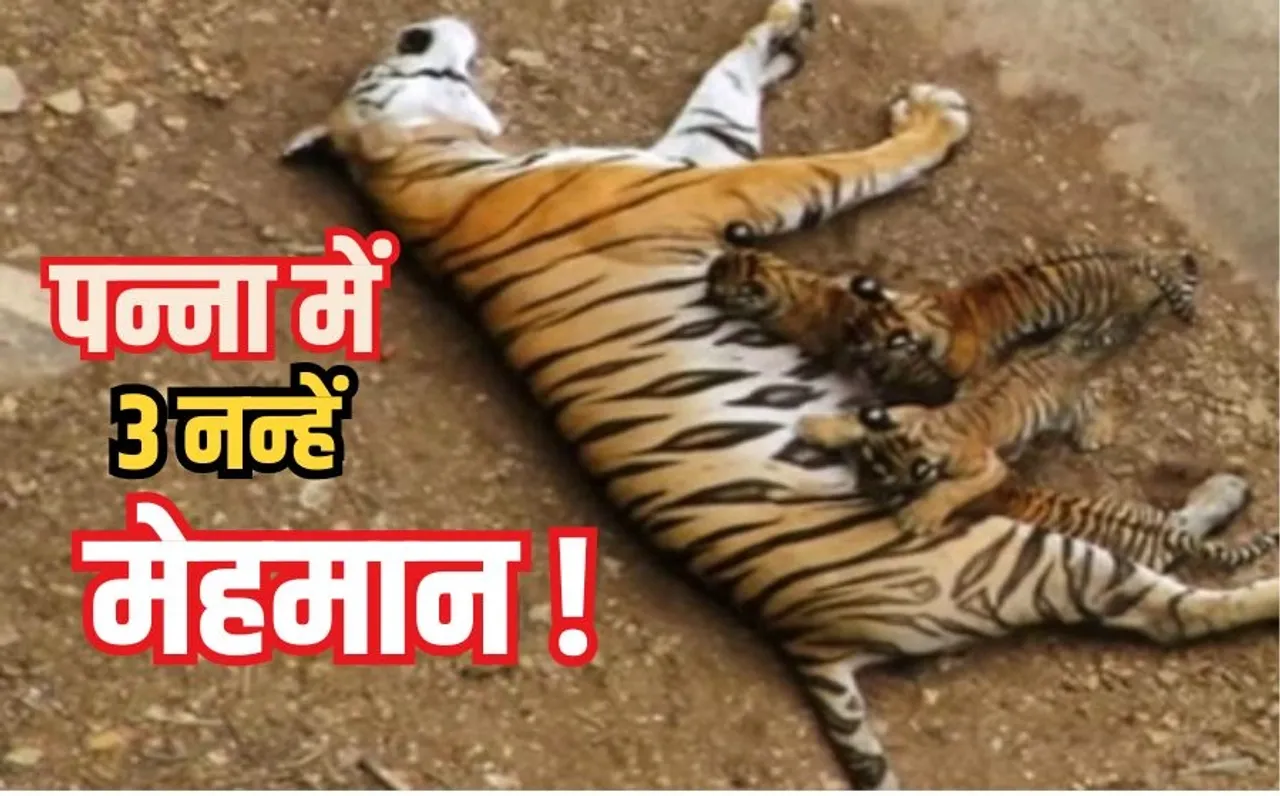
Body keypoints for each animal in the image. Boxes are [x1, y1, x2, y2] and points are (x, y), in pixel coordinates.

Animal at [796, 313, 1154, 535]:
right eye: (866, 459)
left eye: (885, 479)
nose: (860, 486)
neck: (928, 431)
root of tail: (1061, 350)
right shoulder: (910, 413)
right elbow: (857, 420)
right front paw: (819, 426)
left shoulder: (986, 467)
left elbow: (951, 489)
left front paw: (921, 514)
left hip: (1067, 405)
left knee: (1099, 394)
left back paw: (1096, 430)